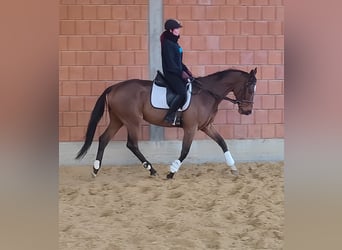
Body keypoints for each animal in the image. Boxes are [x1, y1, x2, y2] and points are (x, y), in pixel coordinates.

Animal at [75, 67, 256, 179]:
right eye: (249, 87)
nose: (247, 111)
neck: (207, 94)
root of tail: (114, 87)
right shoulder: (191, 128)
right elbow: (185, 151)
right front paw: (171, 172)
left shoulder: (206, 126)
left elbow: (222, 143)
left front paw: (233, 168)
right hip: (132, 121)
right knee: (131, 144)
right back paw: (152, 170)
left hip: (117, 120)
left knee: (104, 139)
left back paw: (95, 170)